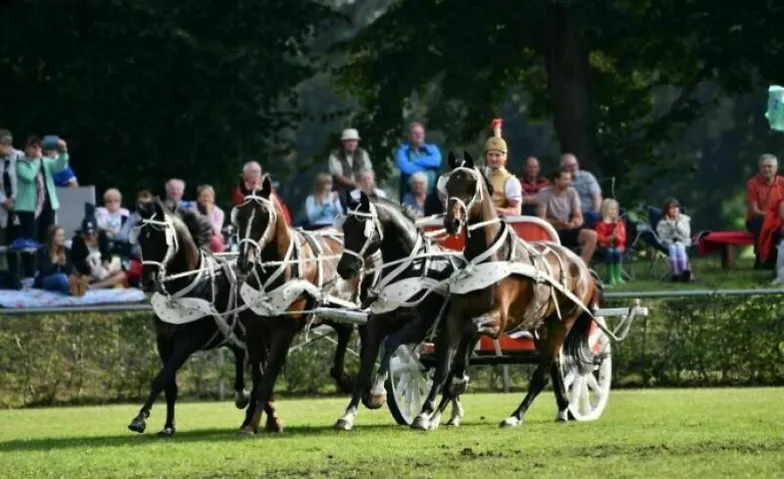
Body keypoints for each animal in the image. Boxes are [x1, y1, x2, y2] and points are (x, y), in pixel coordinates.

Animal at [125, 201, 278, 436]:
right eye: (141, 239)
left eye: (161, 240)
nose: (148, 281)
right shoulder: (164, 340)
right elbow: (169, 384)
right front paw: (168, 426)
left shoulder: (188, 341)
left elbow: (161, 378)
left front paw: (139, 418)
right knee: (246, 361)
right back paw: (245, 402)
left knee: (259, 374)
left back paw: (256, 416)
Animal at [231, 175, 356, 436]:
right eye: (239, 215)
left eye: (264, 216)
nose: (245, 261)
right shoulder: (254, 331)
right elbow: (259, 376)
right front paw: (263, 419)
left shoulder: (284, 330)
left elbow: (267, 379)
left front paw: (256, 421)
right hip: (330, 310)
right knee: (344, 329)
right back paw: (343, 378)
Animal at [332, 193, 466, 434]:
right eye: (345, 227)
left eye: (363, 229)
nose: (344, 268)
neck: (410, 267)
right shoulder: (375, 326)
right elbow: (365, 367)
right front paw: (348, 415)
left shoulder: (418, 326)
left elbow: (390, 344)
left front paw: (377, 393)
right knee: (449, 372)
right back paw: (444, 414)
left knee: (445, 372)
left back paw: (427, 415)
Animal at [432, 152, 604, 430]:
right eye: (447, 186)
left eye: (471, 186)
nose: (452, 222)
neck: (487, 258)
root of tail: (582, 267)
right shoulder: (456, 317)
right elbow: (447, 362)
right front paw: (431, 413)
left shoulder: (496, 320)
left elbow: (463, 350)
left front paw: (457, 384)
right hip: (542, 326)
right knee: (553, 365)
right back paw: (563, 409)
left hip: (563, 323)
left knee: (543, 372)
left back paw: (516, 415)